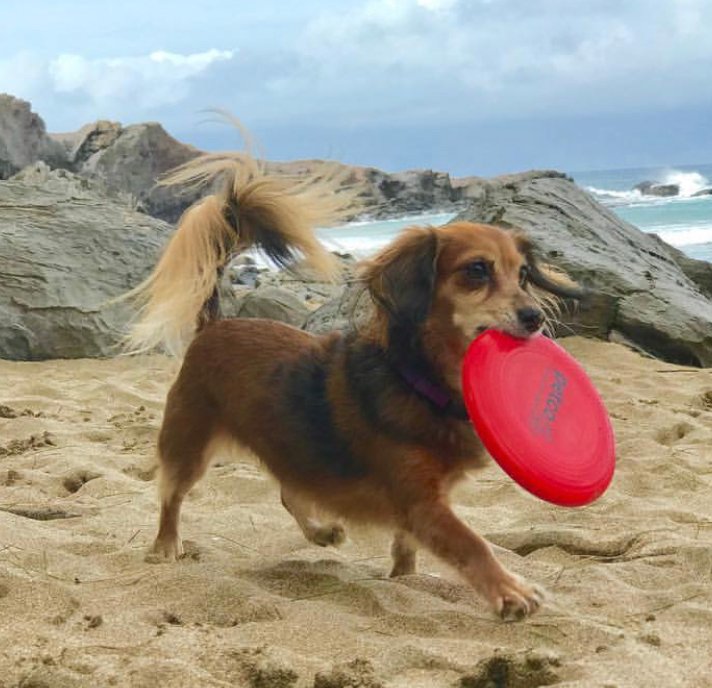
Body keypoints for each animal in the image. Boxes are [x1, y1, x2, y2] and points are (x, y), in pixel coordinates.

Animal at [126, 153, 580, 620]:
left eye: (523, 275)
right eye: (477, 270)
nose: (534, 318)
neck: (415, 379)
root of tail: (214, 325)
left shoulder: (419, 507)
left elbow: (407, 547)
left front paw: (404, 578)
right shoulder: (422, 502)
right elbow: (471, 544)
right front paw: (511, 592)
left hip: (294, 449)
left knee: (289, 492)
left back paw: (321, 531)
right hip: (189, 443)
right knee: (172, 495)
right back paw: (166, 545)